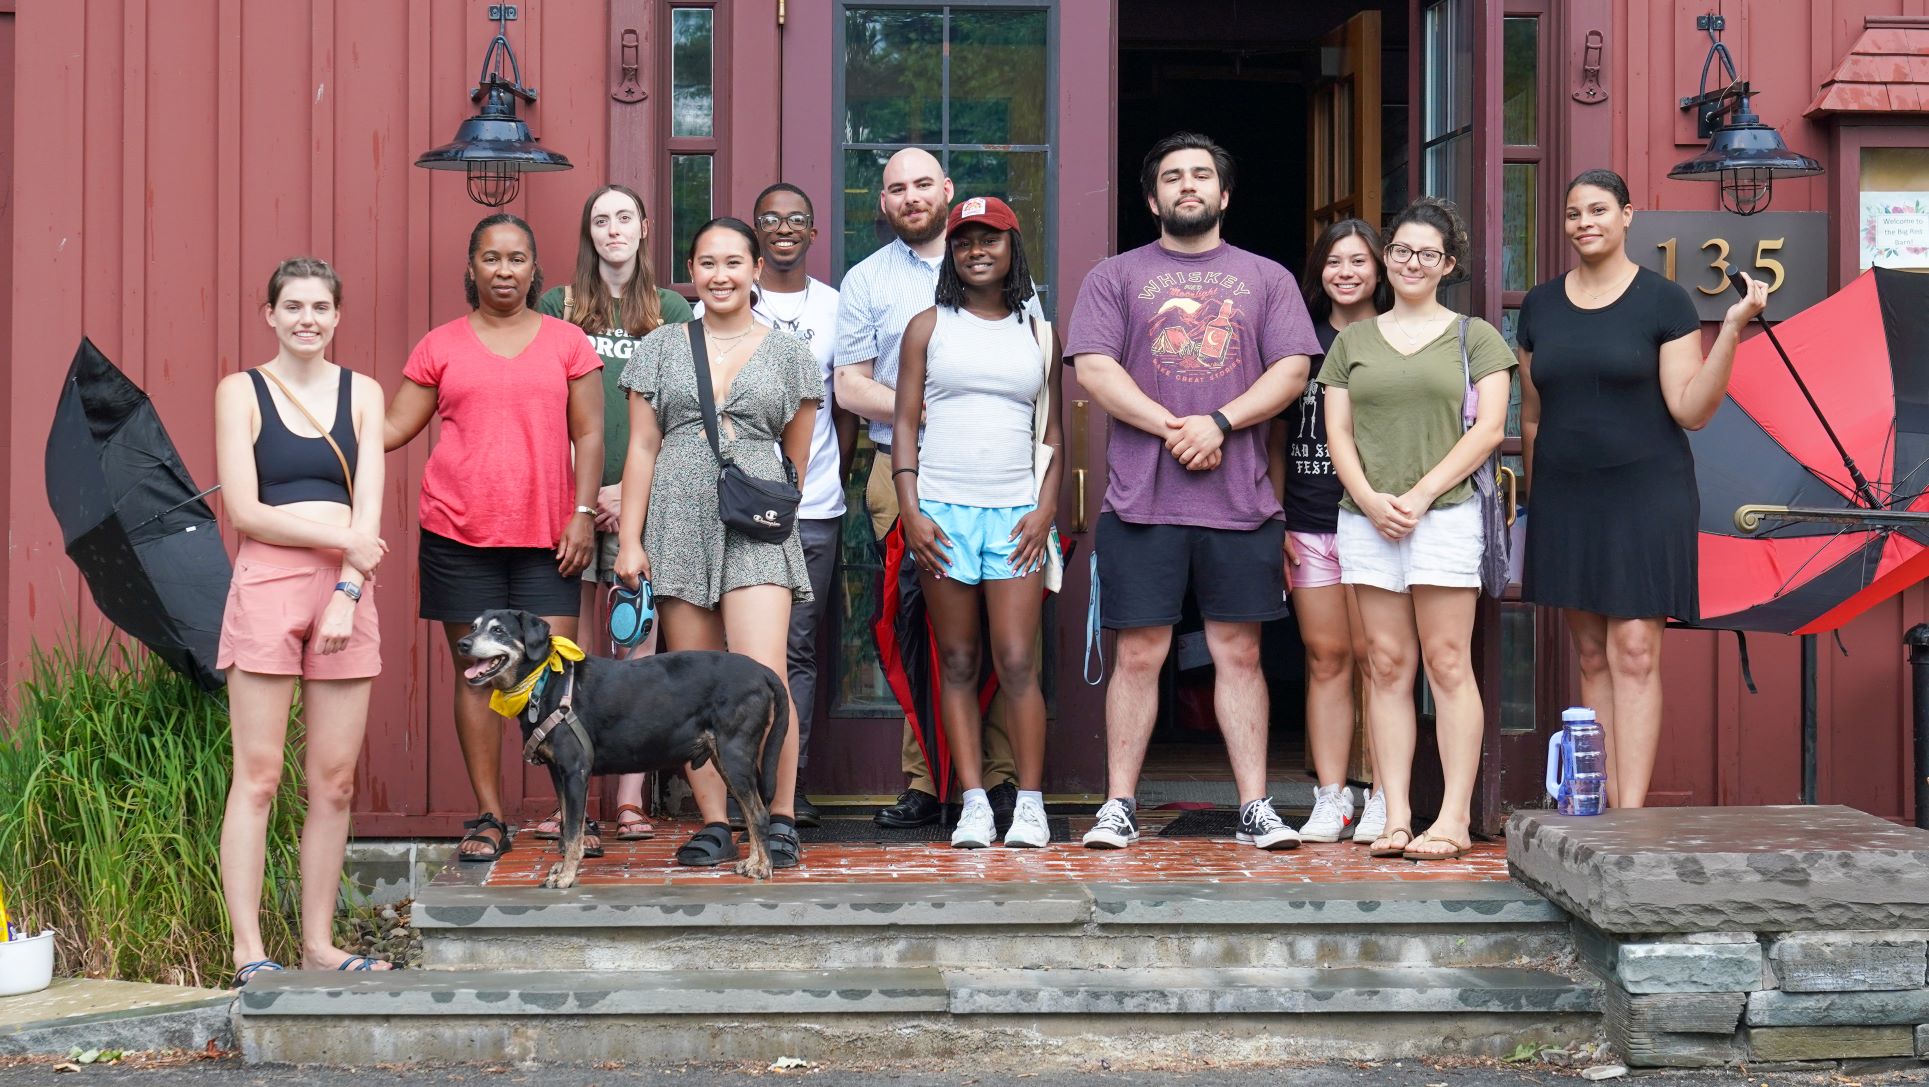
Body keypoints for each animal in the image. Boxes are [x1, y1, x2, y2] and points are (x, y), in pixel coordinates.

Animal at [455, 609, 787, 886]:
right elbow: (568, 826)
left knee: (758, 813)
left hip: (734, 755)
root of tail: (763, 671)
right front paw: (564, 866)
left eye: (498, 630)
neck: (543, 681)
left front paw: (566, 875)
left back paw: (763, 866)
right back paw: (753, 862)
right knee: (749, 813)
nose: (462, 644)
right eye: (473, 626)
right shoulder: (558, 774)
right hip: (725, 758)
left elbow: (573, 831)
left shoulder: (575, 771)